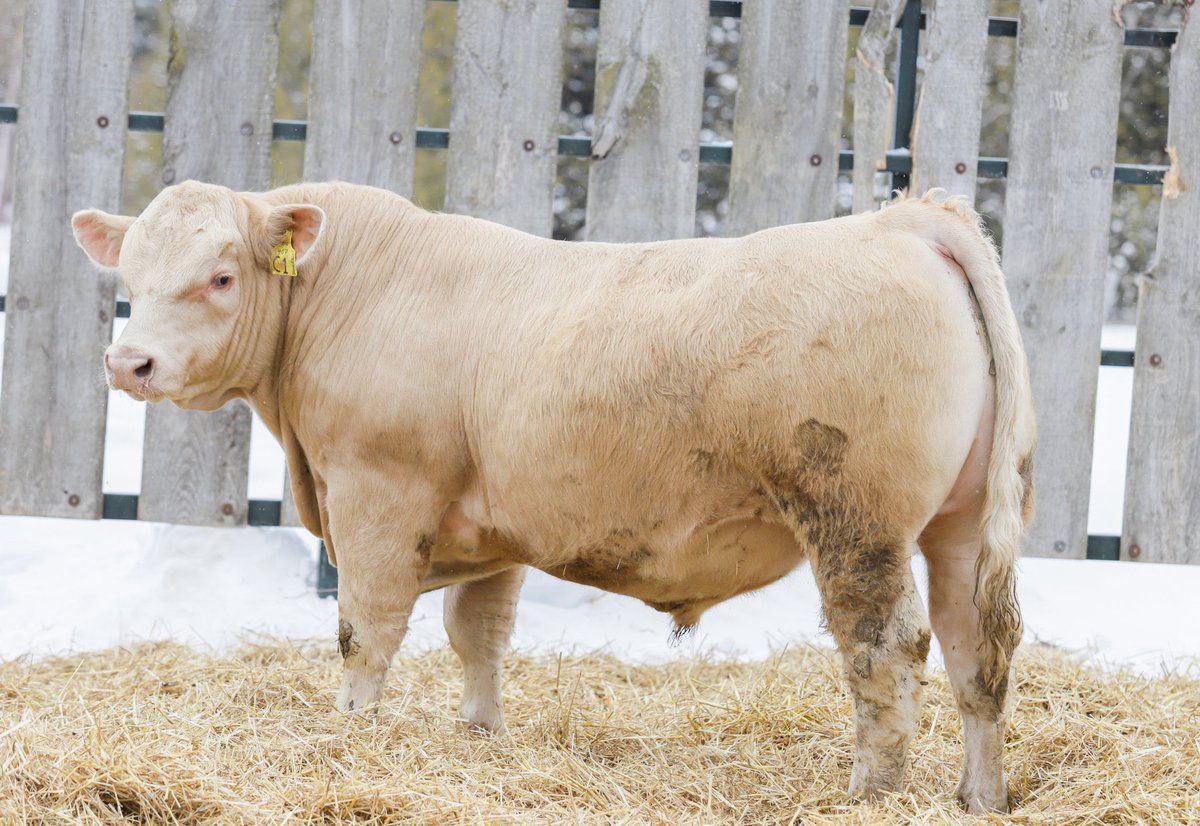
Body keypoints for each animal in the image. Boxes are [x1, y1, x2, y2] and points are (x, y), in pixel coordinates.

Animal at [72, 181, 1035, 813]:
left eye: (221, 276)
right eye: (131, 280)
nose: (130, 362)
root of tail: (904, 220)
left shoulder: (377, 495)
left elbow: (365, 634)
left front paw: (350, 738)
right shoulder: (492, 530)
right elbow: (479, 635)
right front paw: (480, 736)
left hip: (855, 521)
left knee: (886, 650)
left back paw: (870, 793)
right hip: (959, 526)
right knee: (976, 651)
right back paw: (978, 797)